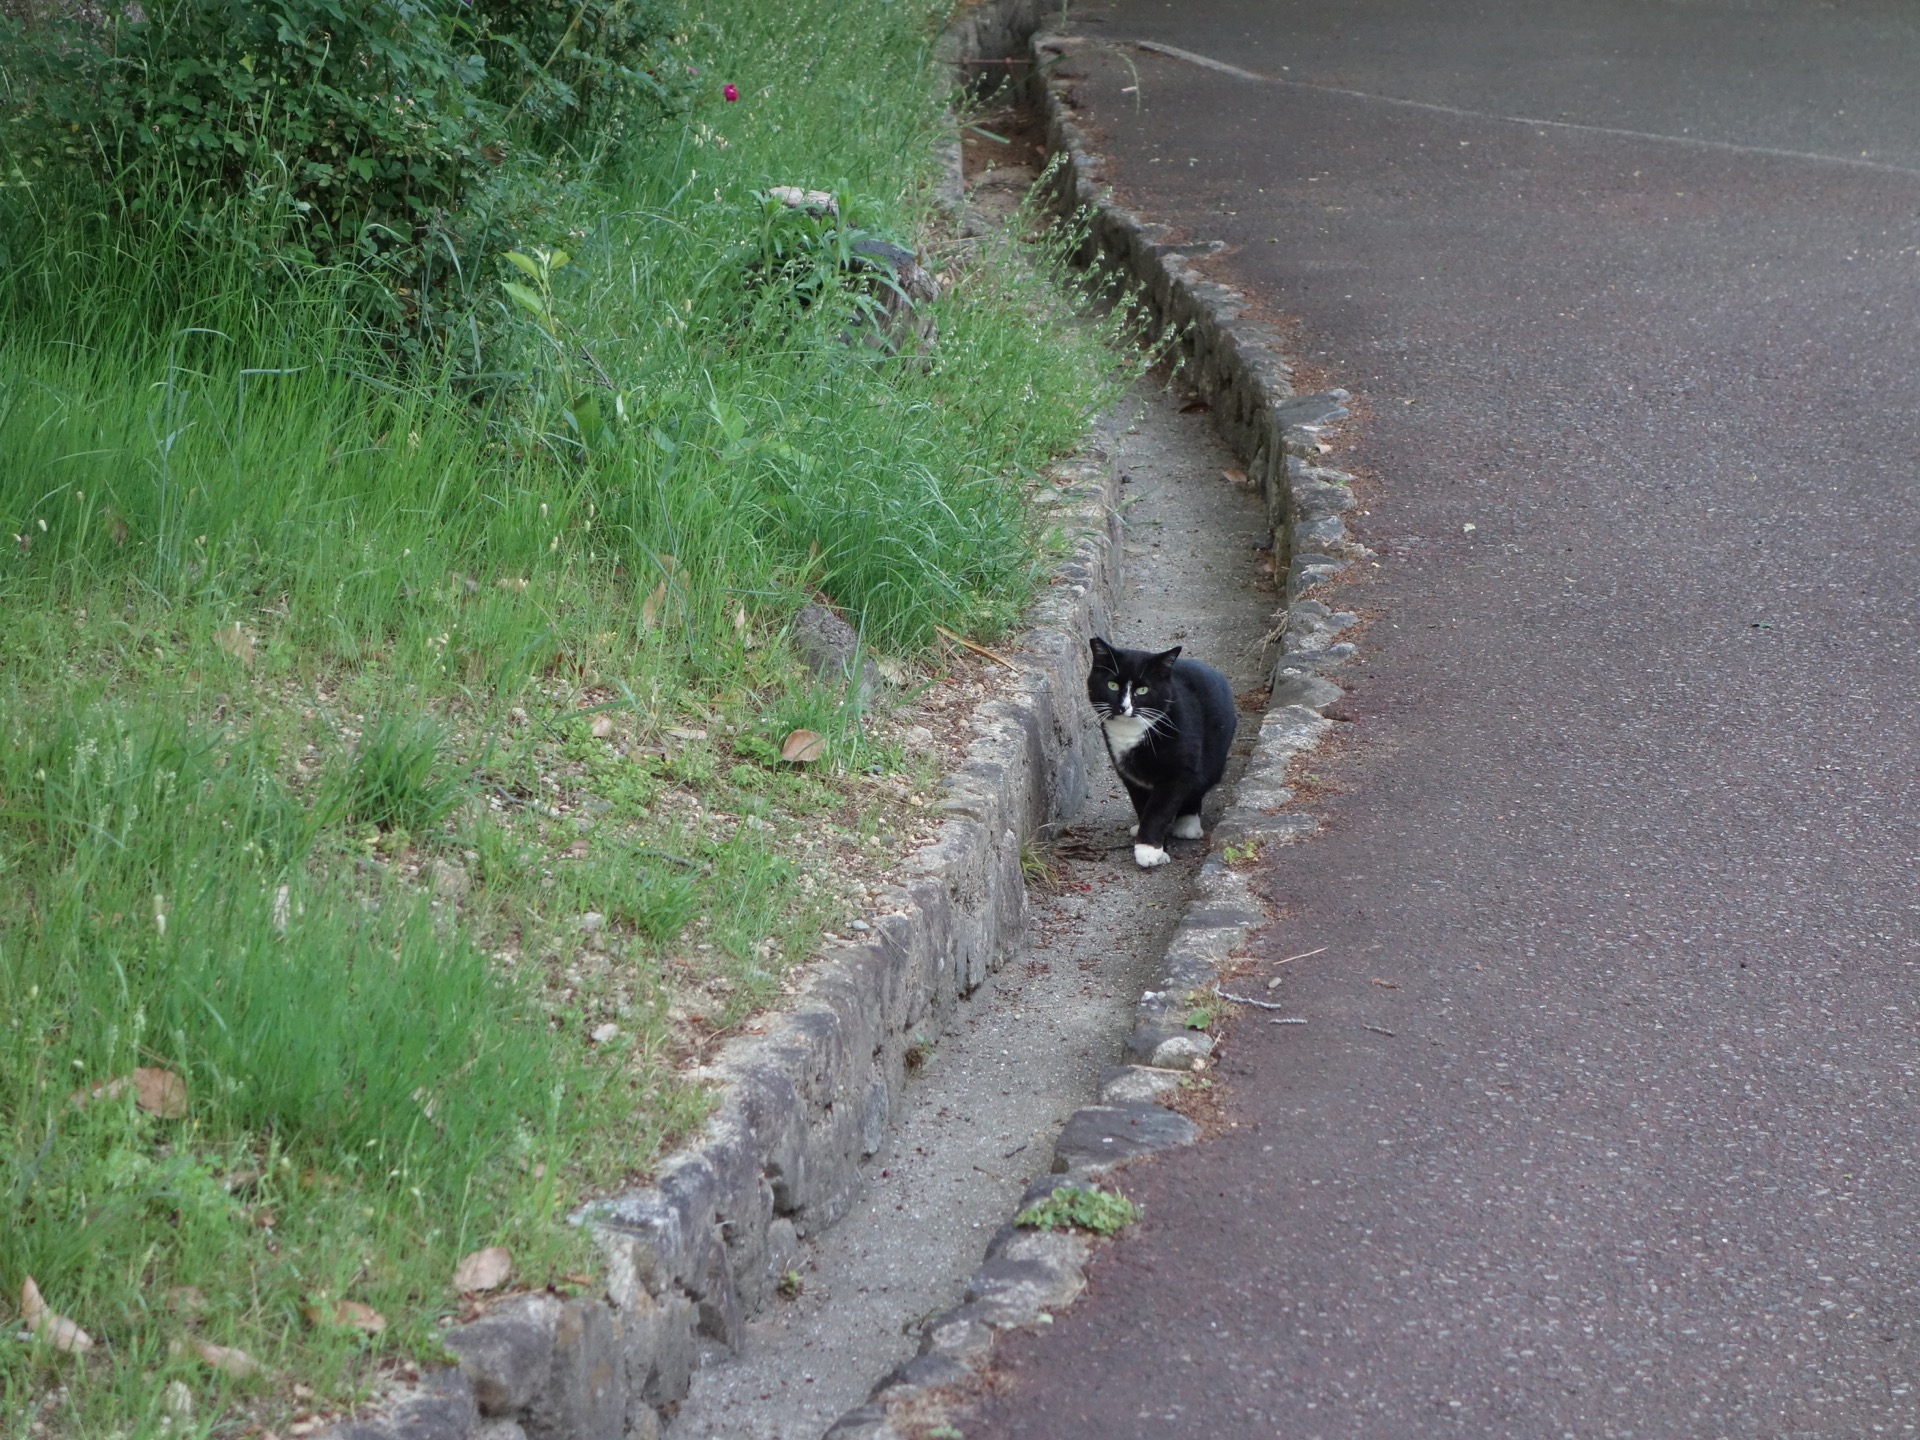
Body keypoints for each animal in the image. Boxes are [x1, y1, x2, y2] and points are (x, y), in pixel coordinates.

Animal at [1090, 641, 1236, 867]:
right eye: (1112, 685)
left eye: (1142, 690)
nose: (1123, 707)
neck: (1133, 732)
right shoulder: (1129, 775)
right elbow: (1143, 805)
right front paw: (1158, 848)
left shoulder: (1179, 772)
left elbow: (1159, 810)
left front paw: (1148, 850)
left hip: (1214, 756)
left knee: (1199, 785)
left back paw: (1187, 823)